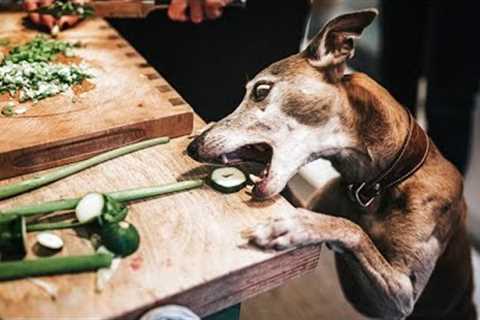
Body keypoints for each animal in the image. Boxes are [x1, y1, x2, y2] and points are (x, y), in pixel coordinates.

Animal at [186, 8, 474, 318]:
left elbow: (351, 229)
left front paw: (294, 227)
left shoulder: (403, 294)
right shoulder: (314, 203)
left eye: (261, 90)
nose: (194, 147)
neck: (376, 184)